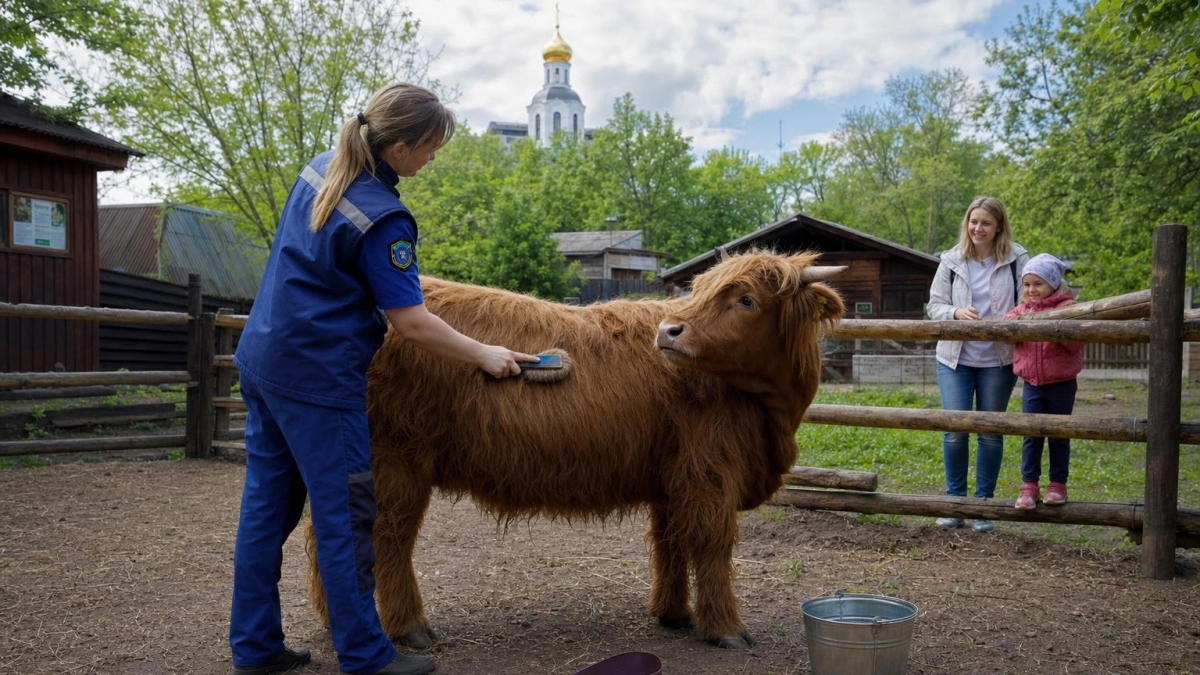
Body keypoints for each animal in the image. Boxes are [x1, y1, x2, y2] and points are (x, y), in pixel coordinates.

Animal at [306, 249, 845, 649]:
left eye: (747, 300)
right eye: (711, 292)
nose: (669, 331)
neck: (772, 415)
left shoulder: (671, 475)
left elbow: (669, 541)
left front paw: (673, 613)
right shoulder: (709, 471)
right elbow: (712, 543)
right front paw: (727, 629)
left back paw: (338, 623)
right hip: (396, 458)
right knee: (388, 536)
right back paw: (409, 628)